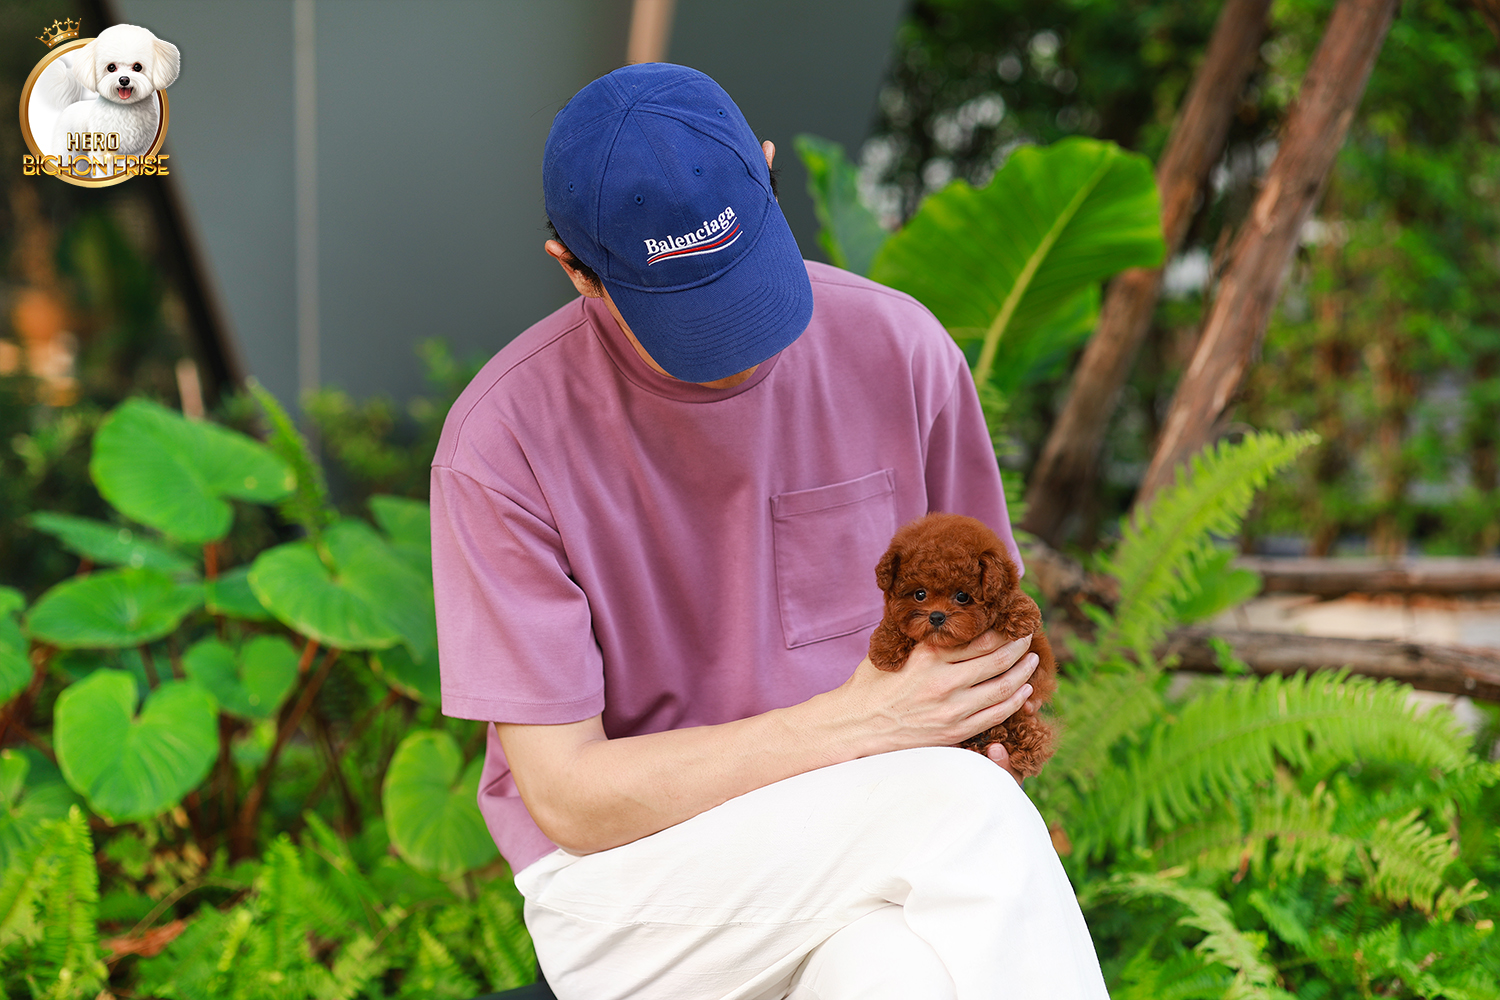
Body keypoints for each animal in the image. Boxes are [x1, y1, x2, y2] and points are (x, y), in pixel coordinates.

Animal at [47, 24, 180, 160]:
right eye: (111, 67)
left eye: (137, 67)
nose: (124, 79)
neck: (125, 109)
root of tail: (71, 104)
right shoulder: (101, 149)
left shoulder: (139, 151)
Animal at [869, 512, 1058, 777]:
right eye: (919, 594)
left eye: (962, 596)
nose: (936, 617)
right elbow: (894, 621)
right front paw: (884, 649)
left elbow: (1008, 600)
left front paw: (1020, 614)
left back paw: (1025, 747)